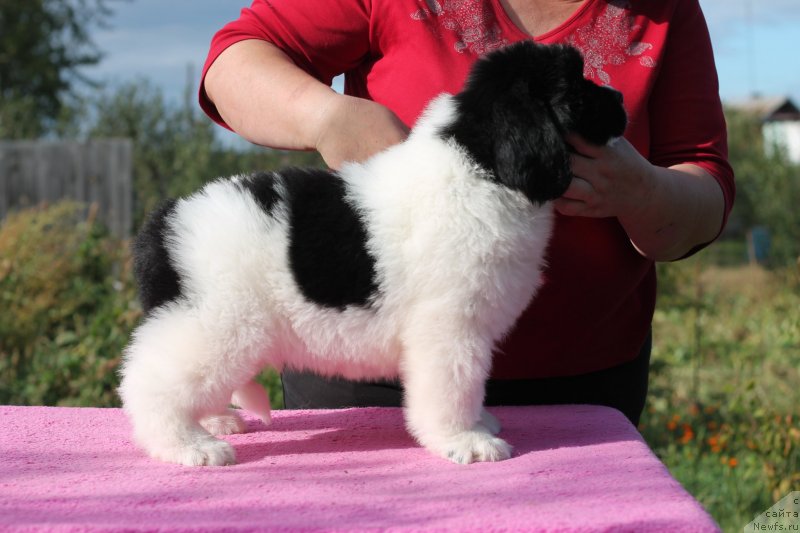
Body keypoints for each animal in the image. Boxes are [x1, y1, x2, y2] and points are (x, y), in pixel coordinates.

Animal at [122, 41, 628, 464]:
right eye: (578, 88)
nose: (622, 100)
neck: (479, 168)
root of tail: (165, 217)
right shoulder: (449, 328)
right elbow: (453, 386)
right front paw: (464, 439)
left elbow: (469, 387)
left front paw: (476, 424)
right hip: (215, 324)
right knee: (149, 384)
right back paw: (189, 446)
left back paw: (214, 422)